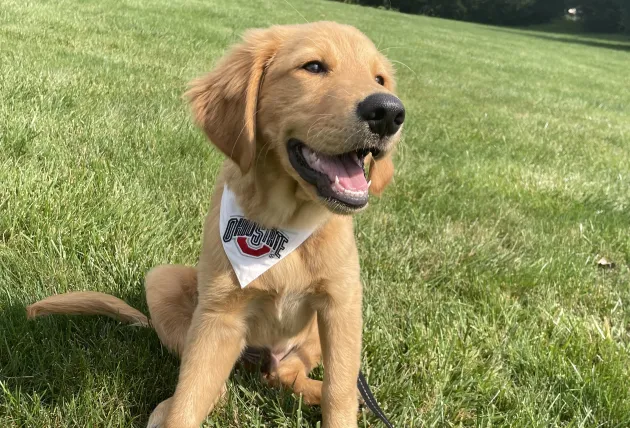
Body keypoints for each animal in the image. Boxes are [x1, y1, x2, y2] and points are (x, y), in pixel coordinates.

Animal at [25, 20, 404, 428]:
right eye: (314, 67)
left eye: (380, 78)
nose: (388, 112)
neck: (281, 223)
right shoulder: (218, 316)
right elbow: (190, 399)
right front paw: (177, 410)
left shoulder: (341, 304)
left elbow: (340, 390)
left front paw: (339, 401)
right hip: (164, 282)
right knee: (214, 386)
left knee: (289, 375)